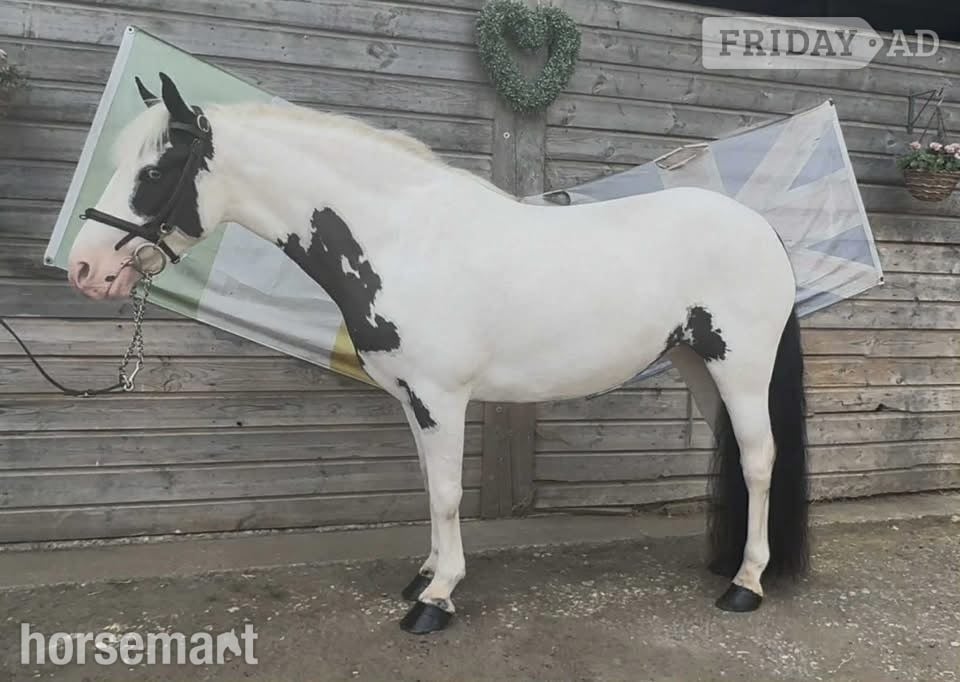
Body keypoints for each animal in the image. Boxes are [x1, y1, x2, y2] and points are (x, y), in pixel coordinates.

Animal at [66, 72, 809, 635]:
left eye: (155, 170)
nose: (86, 269)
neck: (401, 240)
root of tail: (761, 228)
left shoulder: (440, 397)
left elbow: (449, 492)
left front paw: (437, 598)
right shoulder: (411, 398)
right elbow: (430, 487)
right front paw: (423, 574)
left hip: (741, 368)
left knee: (759, 459)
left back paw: (745, 584)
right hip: (699, 365)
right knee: (736, 454)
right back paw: (727, 564)